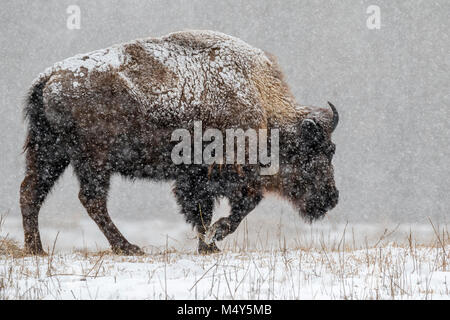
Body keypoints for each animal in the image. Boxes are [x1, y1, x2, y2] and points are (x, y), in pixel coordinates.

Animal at [21, 30, 338, 255]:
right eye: (312, 152)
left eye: (331, 150)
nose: (332, 198)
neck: (257, 98)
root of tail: (48, 78)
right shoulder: (217, 172)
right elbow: (240, 204)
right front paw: (215, 236)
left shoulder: (196, 176)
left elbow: (203, 210)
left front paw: (209, 246)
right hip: (93, 160)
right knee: (91, 199)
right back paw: (128, 248)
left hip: (51, 152)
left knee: (31, 191)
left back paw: (37, 249)